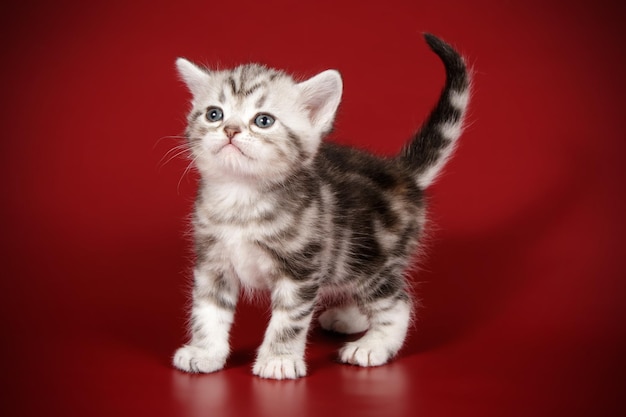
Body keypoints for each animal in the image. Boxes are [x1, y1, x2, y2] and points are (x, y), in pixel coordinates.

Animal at [171, 33, 468, 376]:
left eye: (263, 121)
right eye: (214, 114)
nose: (231, 130)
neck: (241, 197)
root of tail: (402, 173)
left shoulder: (301, 268)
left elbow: (289, 319)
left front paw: (279, 360)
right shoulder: (212, 261)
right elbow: (207, 310)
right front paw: (205, 352)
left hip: (370, 256)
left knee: (397, 301)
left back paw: (373, 345)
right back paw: (350, 317)